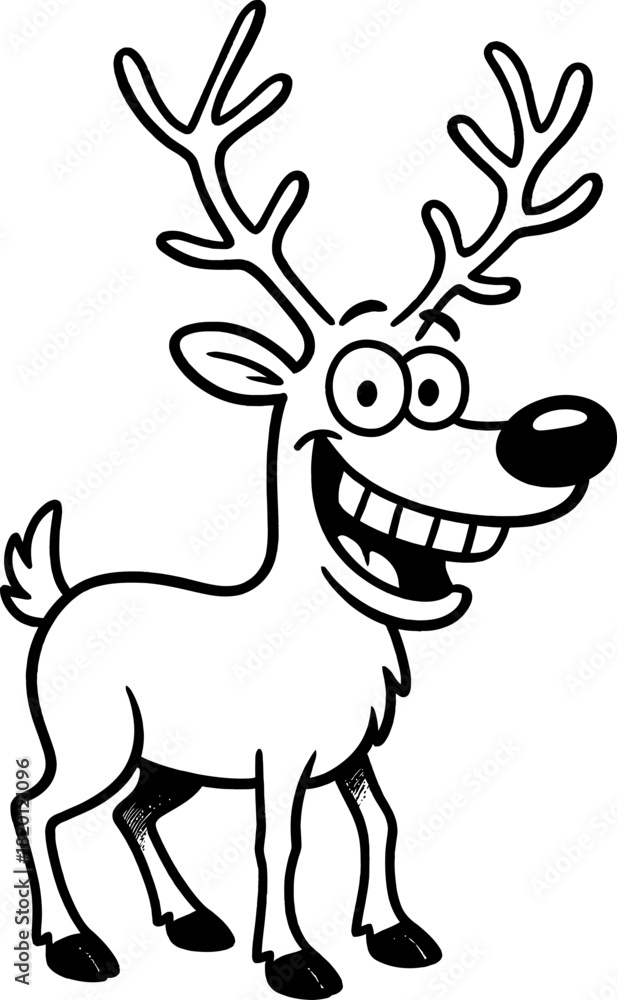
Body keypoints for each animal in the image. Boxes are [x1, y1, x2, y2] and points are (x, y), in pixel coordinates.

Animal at [6, 3, 616, 997]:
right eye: (365, 391)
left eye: (441, 380)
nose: (563, 435)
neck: (322, 630)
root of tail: (59, 597)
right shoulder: (280, 758)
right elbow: (278, 845)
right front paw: (294, 956)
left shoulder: (353, 754)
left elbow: (383, 822)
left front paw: (396, 932)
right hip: (92, 736)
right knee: (41, 804)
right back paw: (75, 944)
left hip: (169, 755)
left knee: (133, 812)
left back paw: (191, 919)